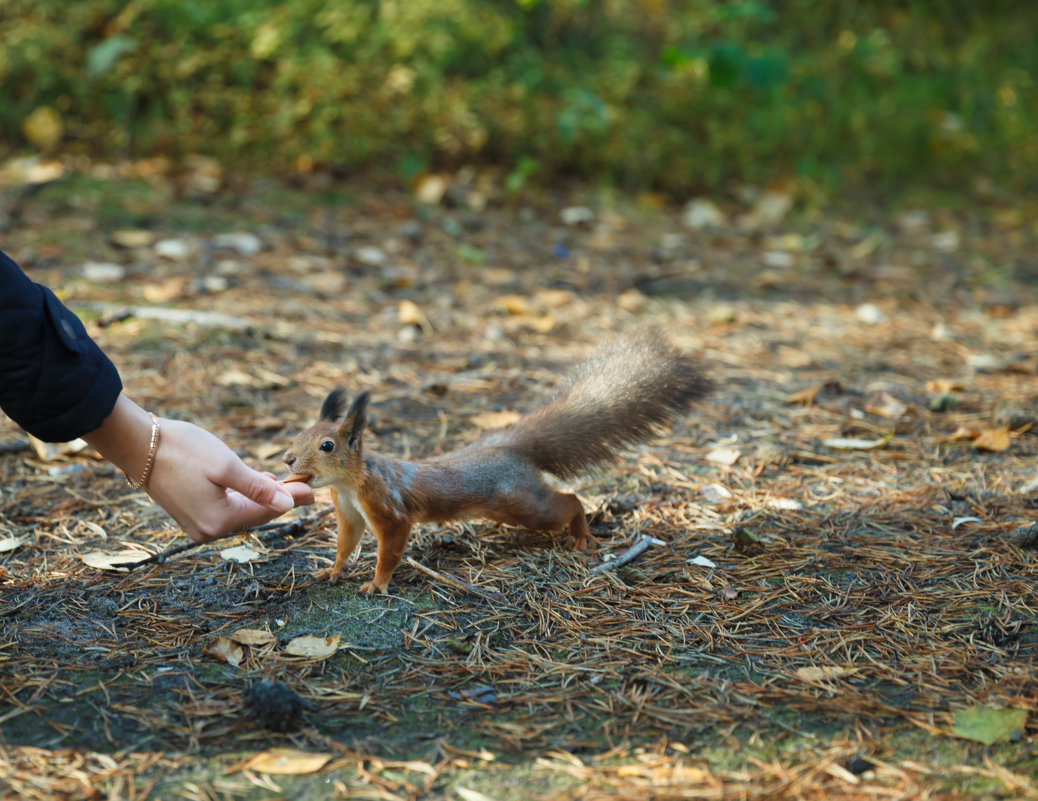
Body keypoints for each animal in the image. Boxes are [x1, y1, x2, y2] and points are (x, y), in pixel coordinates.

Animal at [282, 332, 714, 593]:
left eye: (326, 445)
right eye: (297, 435)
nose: (287, 459)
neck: (348, 484)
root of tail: (508, 449)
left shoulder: (388, 508)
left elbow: (391, 546)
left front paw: (377, 583)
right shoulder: (349, 512)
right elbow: (345, 543)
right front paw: (333, 571)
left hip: (521, 504)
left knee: (568, 501)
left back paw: (580, 533)